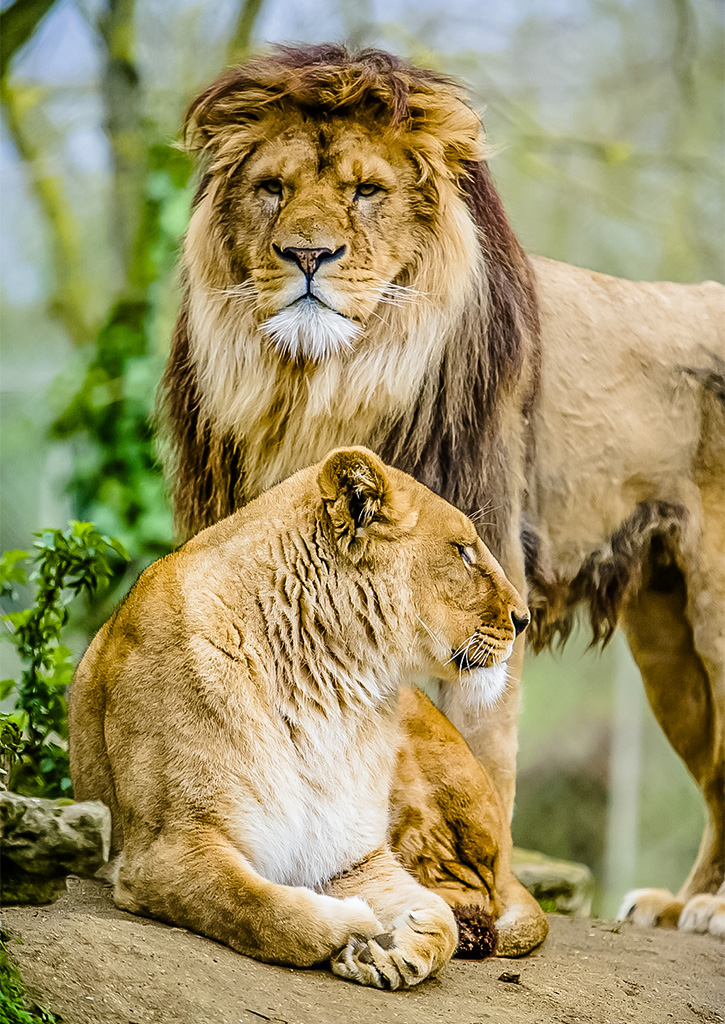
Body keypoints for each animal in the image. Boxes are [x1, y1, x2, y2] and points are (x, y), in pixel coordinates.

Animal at [69, 447, 547, 988]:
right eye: (463, 552)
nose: (525, 619)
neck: (325, 685)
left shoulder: (353, 856)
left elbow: (437, 922)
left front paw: (394, 948)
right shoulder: (165, 849)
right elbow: (263, 910)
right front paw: (358, 927)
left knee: (474, 892)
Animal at [158, 45, 725, 937]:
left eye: (365, 191)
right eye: (273, 188)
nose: (307, 256)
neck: (323, 383)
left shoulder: (491, 573)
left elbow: (480, 755)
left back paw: (709, 908)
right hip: (670, 645)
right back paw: (680, 904)